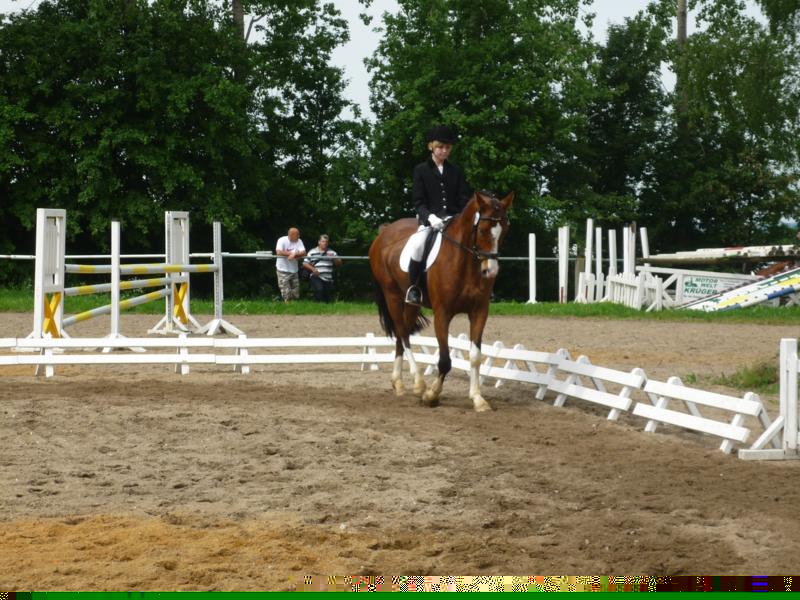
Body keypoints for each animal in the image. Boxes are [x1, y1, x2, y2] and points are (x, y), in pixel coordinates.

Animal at [368, 190, 514, 412]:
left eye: (504, 231)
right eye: (482, 230)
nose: (490, 271)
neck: (466, 262)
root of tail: (384, 232)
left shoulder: (479, 311)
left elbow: (475, 357)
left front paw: (478, 399)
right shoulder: (442, 313)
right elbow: (445, 359)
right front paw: (431, 395)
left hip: (411, 302)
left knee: (403, 334)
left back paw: (399, 383)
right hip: (391, 295)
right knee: (402, 333)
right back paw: (418, 383)